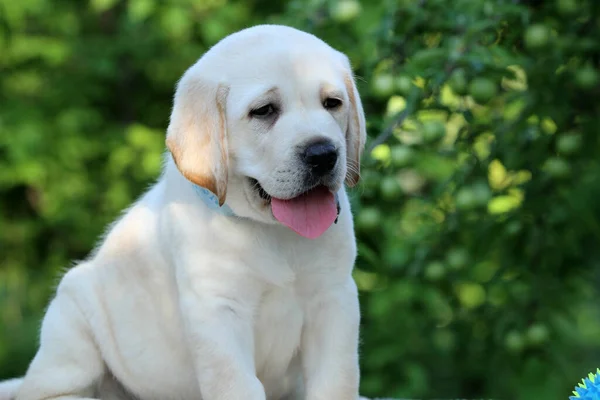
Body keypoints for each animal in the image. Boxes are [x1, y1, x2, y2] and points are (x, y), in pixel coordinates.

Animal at [0, 25, 366, 400]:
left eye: (333, 104)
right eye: (264, 111)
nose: (323, 154)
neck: (271, 232)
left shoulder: (334, 297)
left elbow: (336, 379)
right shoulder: (216, 310)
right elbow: (236, 384)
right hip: (72, 314)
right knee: (49, 390)